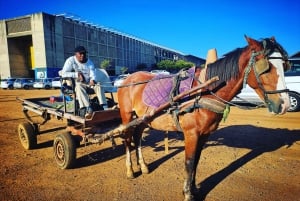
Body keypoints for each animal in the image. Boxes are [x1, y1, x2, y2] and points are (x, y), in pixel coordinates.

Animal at [116, 36, 288, 201]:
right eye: (266, 67)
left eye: (284, 65)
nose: (284, 104)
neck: (205, 91)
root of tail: (127, 79)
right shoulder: (191, 134)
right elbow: (189, 162)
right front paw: (187, 194)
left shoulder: (204, 134)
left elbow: (197, 162)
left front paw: (194, 189)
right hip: (127, 116)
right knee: (127, 139)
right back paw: (130, 170)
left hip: (144, 118)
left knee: (137, 136)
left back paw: (143, 166)